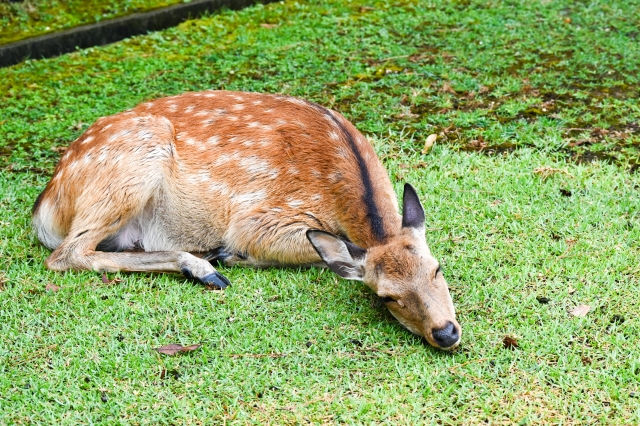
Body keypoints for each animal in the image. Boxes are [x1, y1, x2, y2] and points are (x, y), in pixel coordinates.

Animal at [31, 89, 460, 350]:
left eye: (437, 269)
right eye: (385, 296)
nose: (445, 332)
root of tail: (45, 205)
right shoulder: (257, 219)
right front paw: (233, 255)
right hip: (132, 166)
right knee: (67, 254)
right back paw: (204, 267)